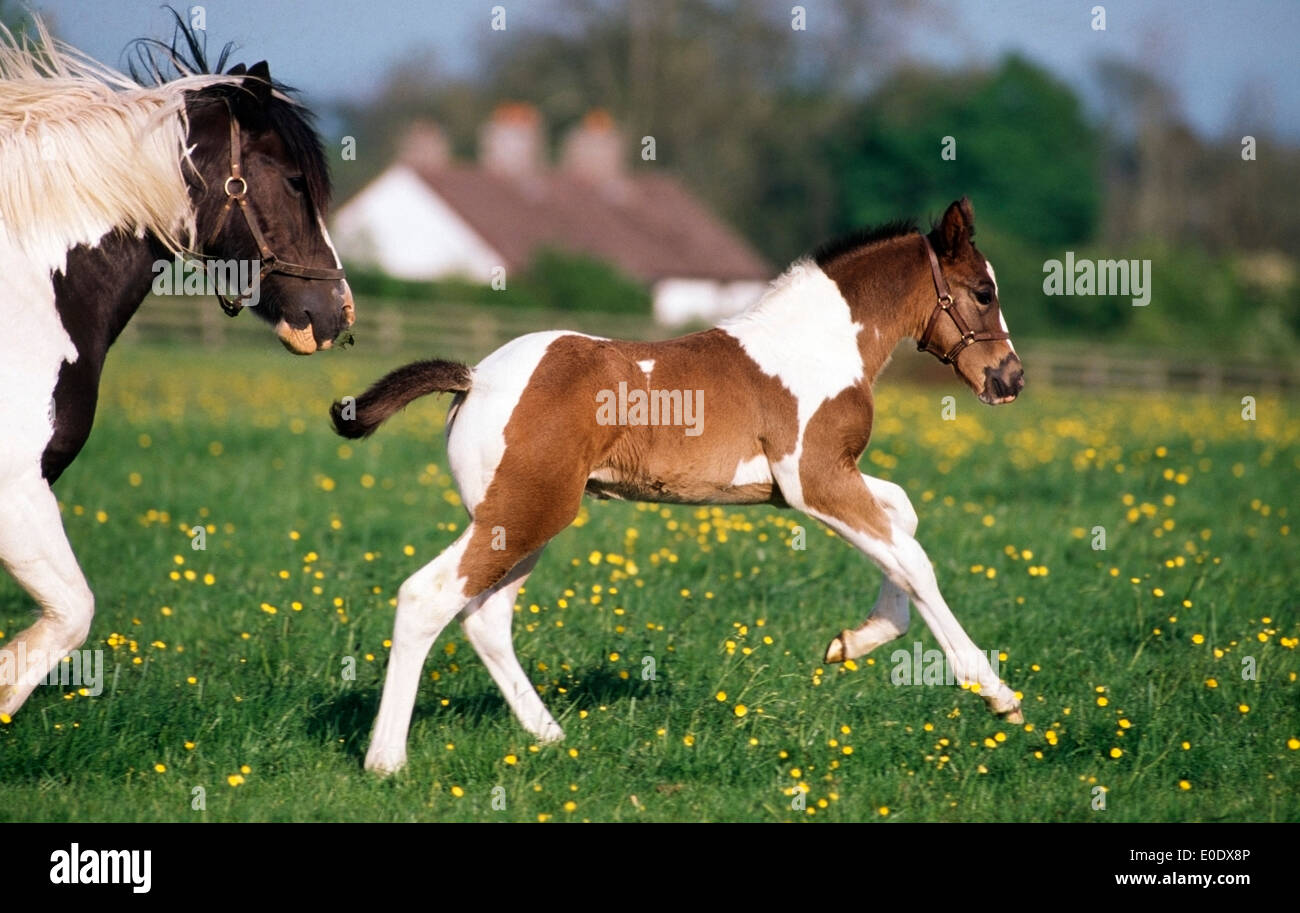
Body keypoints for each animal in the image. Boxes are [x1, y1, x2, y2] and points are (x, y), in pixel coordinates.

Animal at [334, 197, 1024, 775]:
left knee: (485, 619)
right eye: (984, 291)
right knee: (427, 597)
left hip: (520, 518)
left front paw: (853, 641)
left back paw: (552, 737)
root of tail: (474, 378)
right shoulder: (816, 480)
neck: (815, 348)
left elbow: (903, 520)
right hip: (526, 512)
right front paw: (996, 694)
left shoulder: (817, 479)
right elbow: (914, 559)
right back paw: (386, 760)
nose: (1009, 378)